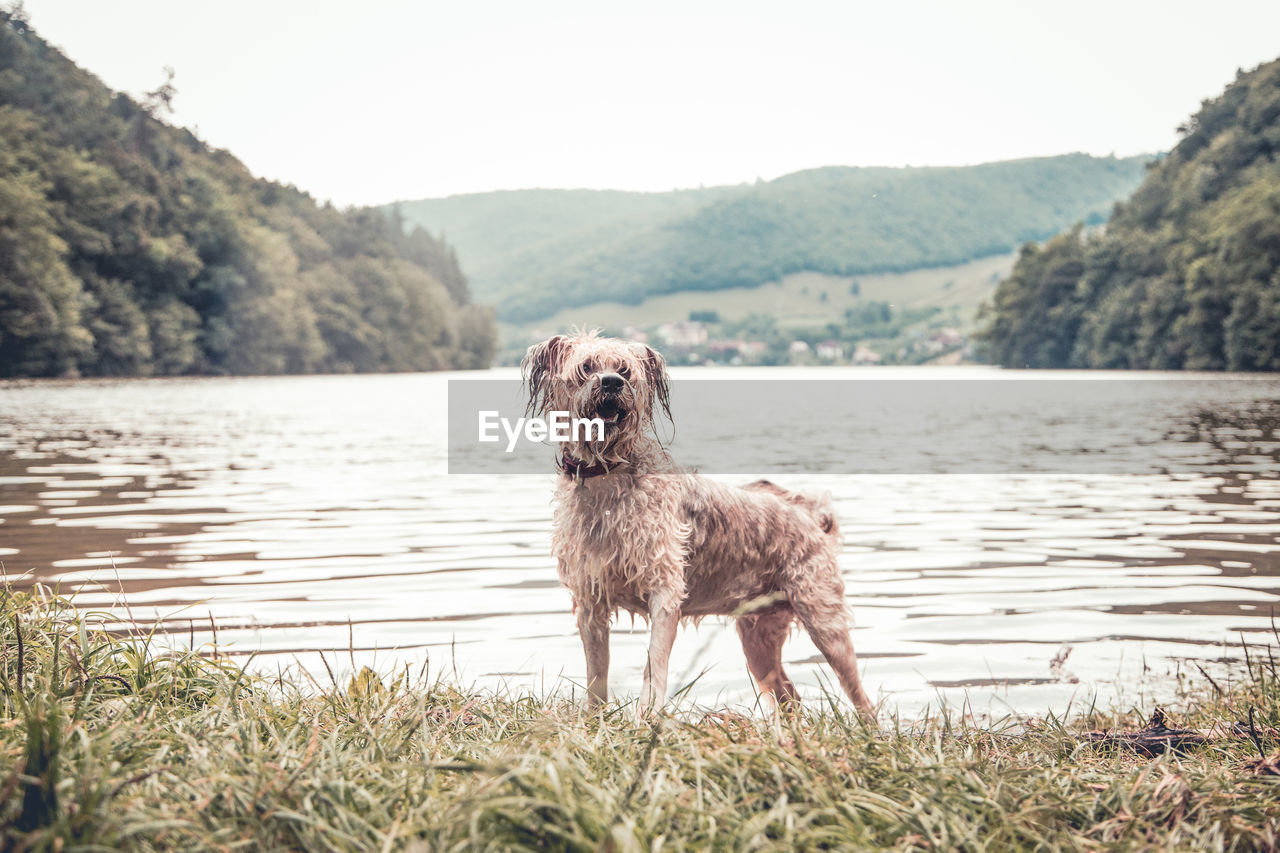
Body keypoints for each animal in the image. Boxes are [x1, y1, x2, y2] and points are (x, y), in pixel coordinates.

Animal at [524, 327, 875, 712]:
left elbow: (654, 667)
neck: (607, 473)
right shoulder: (591, 603)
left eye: (625, 370)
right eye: (586, 367)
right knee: (789, 697)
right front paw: (595, 719)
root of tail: (810, 514)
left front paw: (646, 717)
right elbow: (596, 676)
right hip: (758, 638)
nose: (612, 382)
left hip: (824, 622)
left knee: (862, 700)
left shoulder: (664, 594)